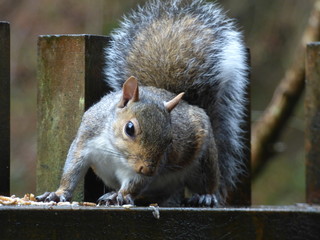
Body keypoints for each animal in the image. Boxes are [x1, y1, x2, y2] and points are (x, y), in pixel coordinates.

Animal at [36, 0, 249, 206]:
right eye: (129, 128)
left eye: (170, 140)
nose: (148, 170)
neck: (113, 147)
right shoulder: (85, 140)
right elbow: (72, 170)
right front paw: (58, 194)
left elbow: (134, 183)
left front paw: (121, 196)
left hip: (204, 161)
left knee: (206, 181)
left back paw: (205, 196)